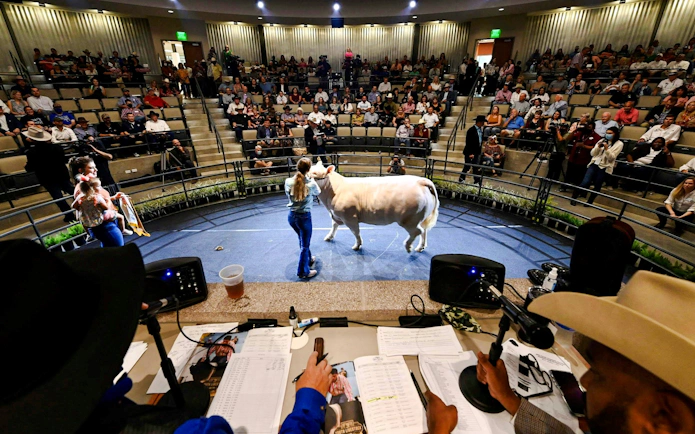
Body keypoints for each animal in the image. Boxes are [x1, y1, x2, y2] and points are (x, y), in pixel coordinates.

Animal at [308, 161, 439, 252]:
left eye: (314, 174)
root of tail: (421, 181)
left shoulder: (350, 217)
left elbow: (356, 232)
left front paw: (357, 245)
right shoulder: (336, 215)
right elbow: (334, 226)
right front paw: (329, 237)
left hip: (408, 220)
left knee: (417, 231)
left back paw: (408, 246)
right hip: (419, 218)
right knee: (424, 231)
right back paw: (420, 247)